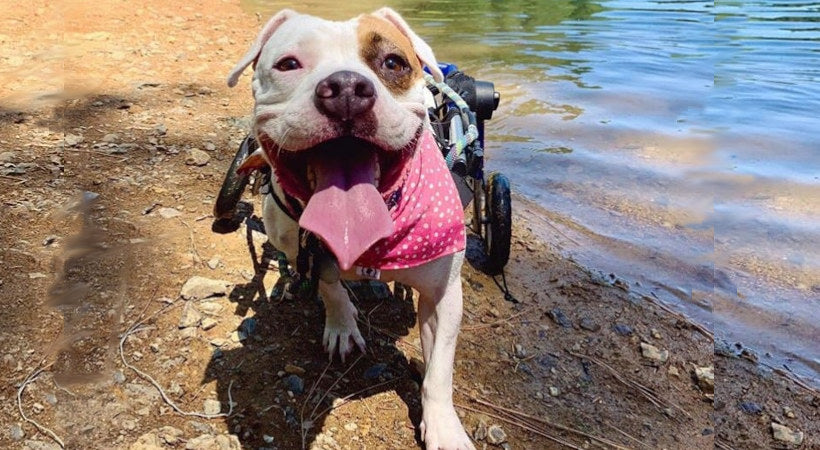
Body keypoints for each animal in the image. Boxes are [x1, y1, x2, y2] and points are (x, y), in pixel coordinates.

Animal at [227, 7, 474, 450]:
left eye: (393, 63)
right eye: (288, 64)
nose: (345, 88)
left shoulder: (443, 296)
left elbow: (439, 371)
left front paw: (445, 428)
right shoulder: (304, 248)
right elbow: (328, 283)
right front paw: (342, 323)